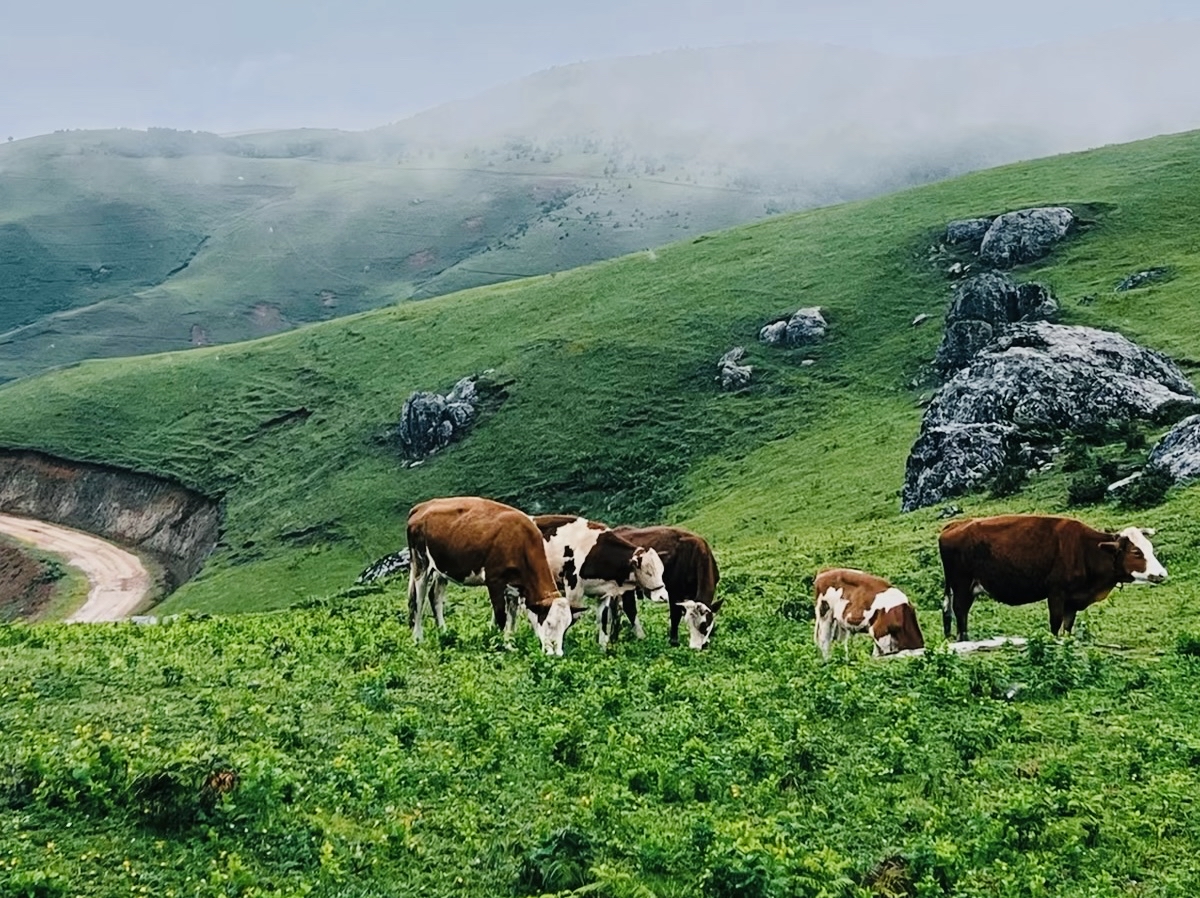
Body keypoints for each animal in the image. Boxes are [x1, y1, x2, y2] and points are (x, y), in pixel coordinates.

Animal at [408, 494, 585, 657]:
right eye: (549, 623)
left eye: (566, 626)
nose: (556, 653)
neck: (520, 541)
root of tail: (421, 506)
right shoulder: (494, 581)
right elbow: (501, 616)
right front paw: (499, 646)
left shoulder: (515, 586)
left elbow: (512, 618)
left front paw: (510, 644)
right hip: (421, 563)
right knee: (418, 600)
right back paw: (418, 639)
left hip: (442, 569)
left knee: (435, 596)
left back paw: (444, 632)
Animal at [528, 516, 672, 648]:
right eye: (648, 573)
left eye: (661, 571)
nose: (663, 596)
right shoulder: (573, 588)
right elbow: (571, 616)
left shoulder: (604, 592)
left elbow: (604, 618)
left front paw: (602, 648)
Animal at [931, 511, 1166, 638]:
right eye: (1136, 552)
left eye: (1150, 548)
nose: (1162, 574)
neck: (1086, 550)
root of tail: (956, 524)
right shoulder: (1056, 593)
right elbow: (1055, 625)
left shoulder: (1073, 600)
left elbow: (1067, 628)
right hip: (962, 585)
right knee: (960, 612)